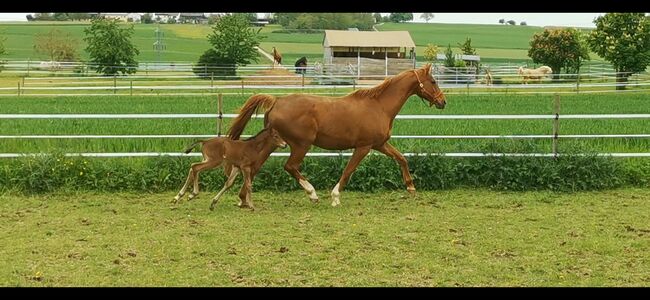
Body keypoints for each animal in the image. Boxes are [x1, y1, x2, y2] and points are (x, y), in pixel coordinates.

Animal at [228, 63, 446, 206]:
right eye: (433, 81)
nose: (442, 102)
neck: (379, 106)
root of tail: (276, 101)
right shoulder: (364, 147)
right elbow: (349, 171)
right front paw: (335, 197)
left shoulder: (380, 144)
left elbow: (401, 159)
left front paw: (411, 187)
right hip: (301, 145)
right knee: (290, 166)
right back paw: (312, 194)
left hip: (273, 143)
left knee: (255, 167)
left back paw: (243, 199)